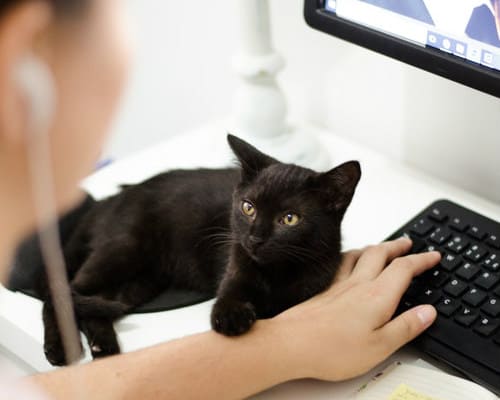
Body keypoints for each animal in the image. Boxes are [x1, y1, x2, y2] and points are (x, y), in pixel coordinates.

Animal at [38, 134, 360, 366]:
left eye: (290, 219)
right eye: (248, 208)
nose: (255, 238)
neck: (277, 273)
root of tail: (110, 199)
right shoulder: (235, 266)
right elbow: (228, 300)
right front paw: (231, 318)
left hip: (139, 282)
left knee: (93, 303)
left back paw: (104, 346)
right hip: (124, 249)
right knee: (61, 291)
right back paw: (59, 348)